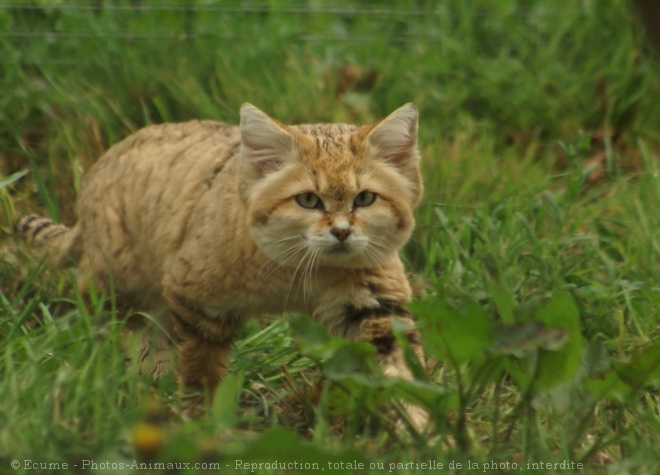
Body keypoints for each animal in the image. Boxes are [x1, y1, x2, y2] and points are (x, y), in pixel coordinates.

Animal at [16, 103, 428, 428]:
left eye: (365, 199)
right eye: (309, 200)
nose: (342, 232)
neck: (298, 272)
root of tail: (94, 174)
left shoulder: (375, 306)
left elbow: (402, 372)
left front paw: (423, 431)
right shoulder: (195, 297)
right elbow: (200, 371)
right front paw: (202, 424)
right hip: (118, 273)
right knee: (98, 303)